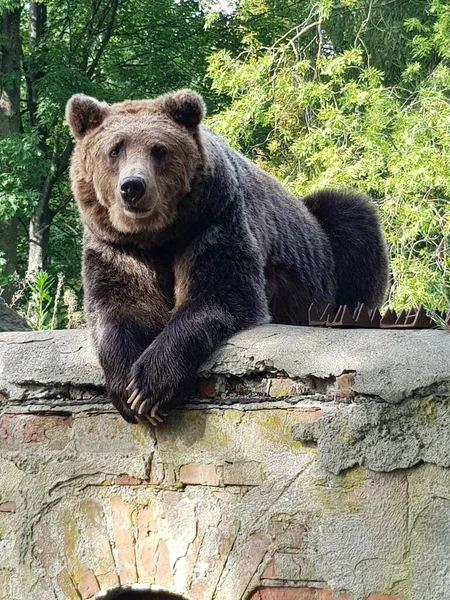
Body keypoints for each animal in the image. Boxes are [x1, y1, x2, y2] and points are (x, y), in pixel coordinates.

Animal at [65, 89, 388, 426]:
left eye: (159, 150)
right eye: (115, 150)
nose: (132, 187)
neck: (156, 236)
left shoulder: (213, 222)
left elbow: (220, 294)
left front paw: (150, 386)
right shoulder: (116, 246)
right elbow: (120, 307)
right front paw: (126, 389)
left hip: (323, 249)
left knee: (349, 219)